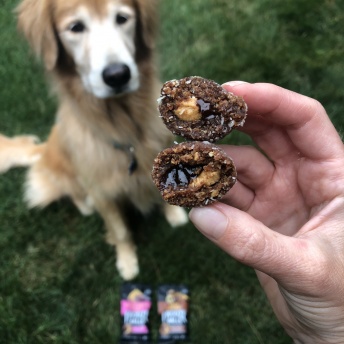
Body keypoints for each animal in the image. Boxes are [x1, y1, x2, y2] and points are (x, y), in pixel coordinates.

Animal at [11, 0, 188, 280]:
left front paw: (174, 214)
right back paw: (85, 205)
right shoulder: (102, 191)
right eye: (75, 27)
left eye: (122, 18)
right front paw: (127, 261)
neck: (124, 125)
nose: (117, 75)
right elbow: (120, 231)